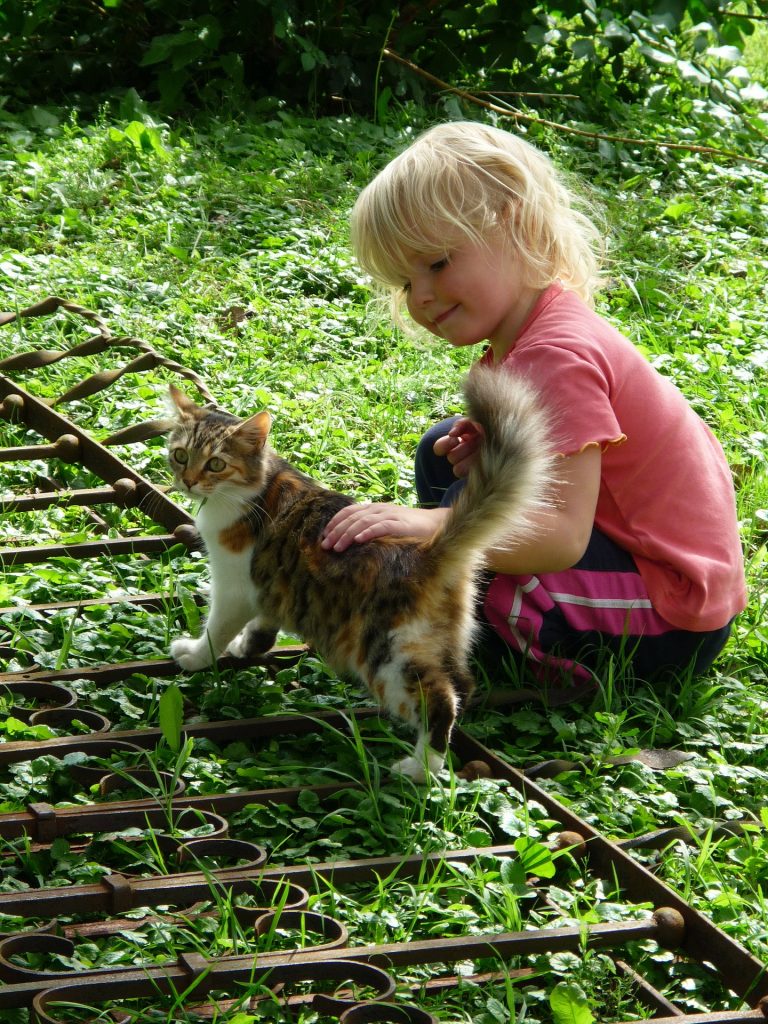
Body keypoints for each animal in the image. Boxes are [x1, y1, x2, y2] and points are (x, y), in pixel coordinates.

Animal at [166, 370, 552, 782]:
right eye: (181, 455)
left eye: (216, 464)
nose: (188, 481)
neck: (257, 485)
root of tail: (427, 550)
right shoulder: (274, 586)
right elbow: (264, 623)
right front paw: (247, 646)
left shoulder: (234, 586)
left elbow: (216, 628)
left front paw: (195, 655)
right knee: (462, 684)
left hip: (386, 654)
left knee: (440, 699)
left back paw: (419, 768)